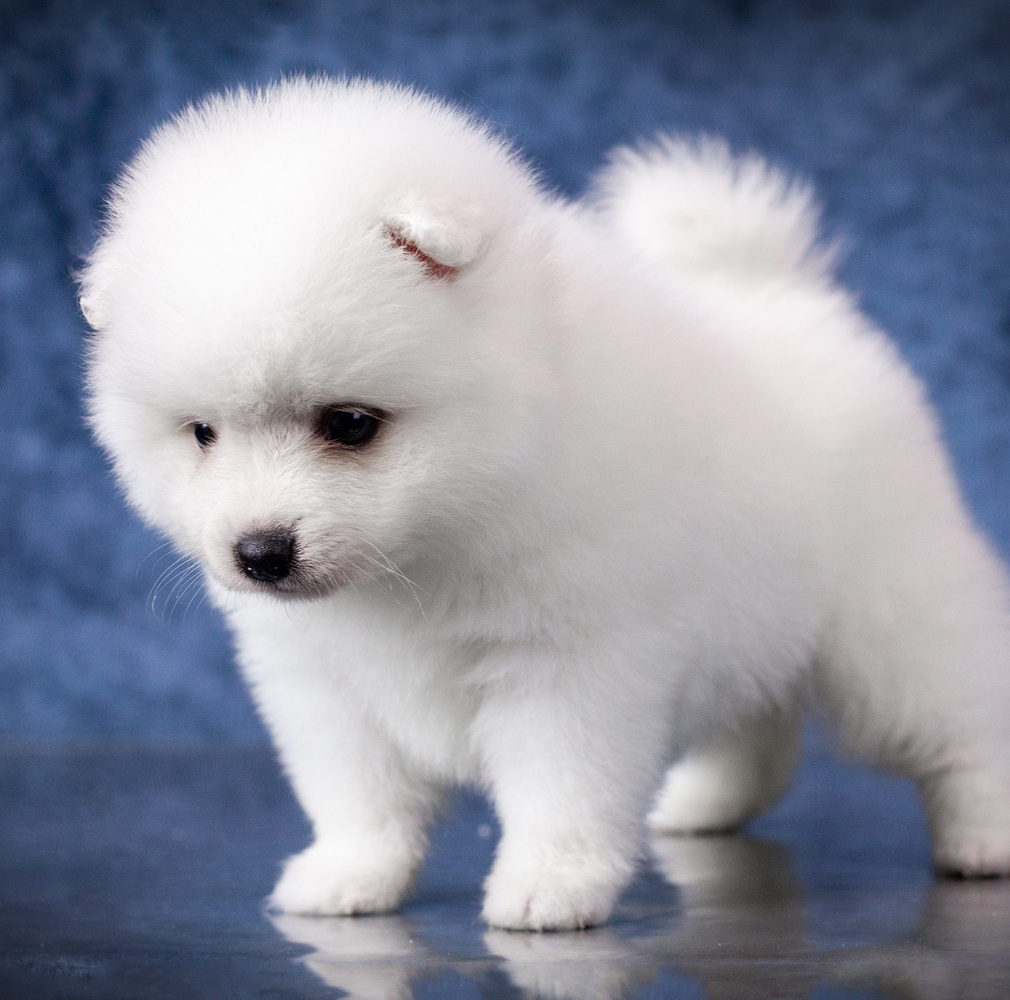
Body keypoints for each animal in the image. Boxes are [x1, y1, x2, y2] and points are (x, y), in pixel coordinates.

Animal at [81, 77, 1010, 930]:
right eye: (202, 433)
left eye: (350, 424)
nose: (260, 553)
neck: (432, 546)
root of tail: (780, 295)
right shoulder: (322, 682)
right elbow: (357, 791)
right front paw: (349, 874)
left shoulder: (569, 660)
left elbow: (563, 785)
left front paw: (551, 885)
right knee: (760, 726)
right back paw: (703, 804)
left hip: (890, 620)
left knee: (959, 716)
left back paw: (983, 834)